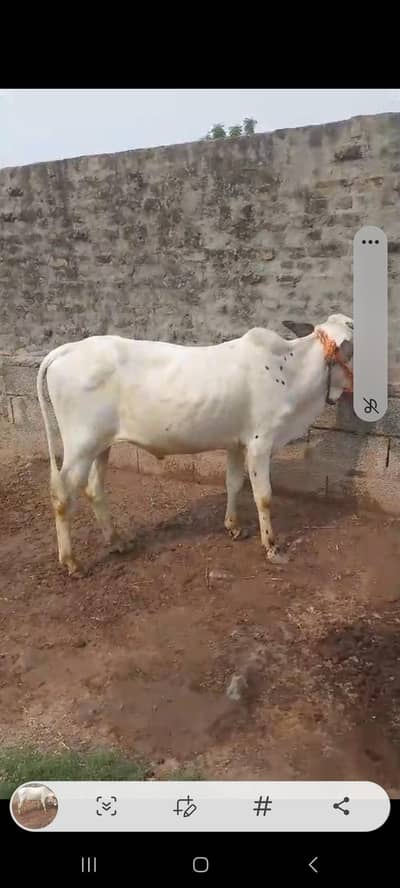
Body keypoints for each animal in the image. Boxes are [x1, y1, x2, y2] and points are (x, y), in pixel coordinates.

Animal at [37, 313, 353, 576]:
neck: (289, 372)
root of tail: (68, 349)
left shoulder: (236, 443)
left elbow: (234, 483)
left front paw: (234, 527)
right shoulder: (260, 443)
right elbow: (263, 496)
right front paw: (272, 547)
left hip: (102, 445)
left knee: (94, 489)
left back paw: (117, 542)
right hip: (80, 446)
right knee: (62, 496)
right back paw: (72, 562)